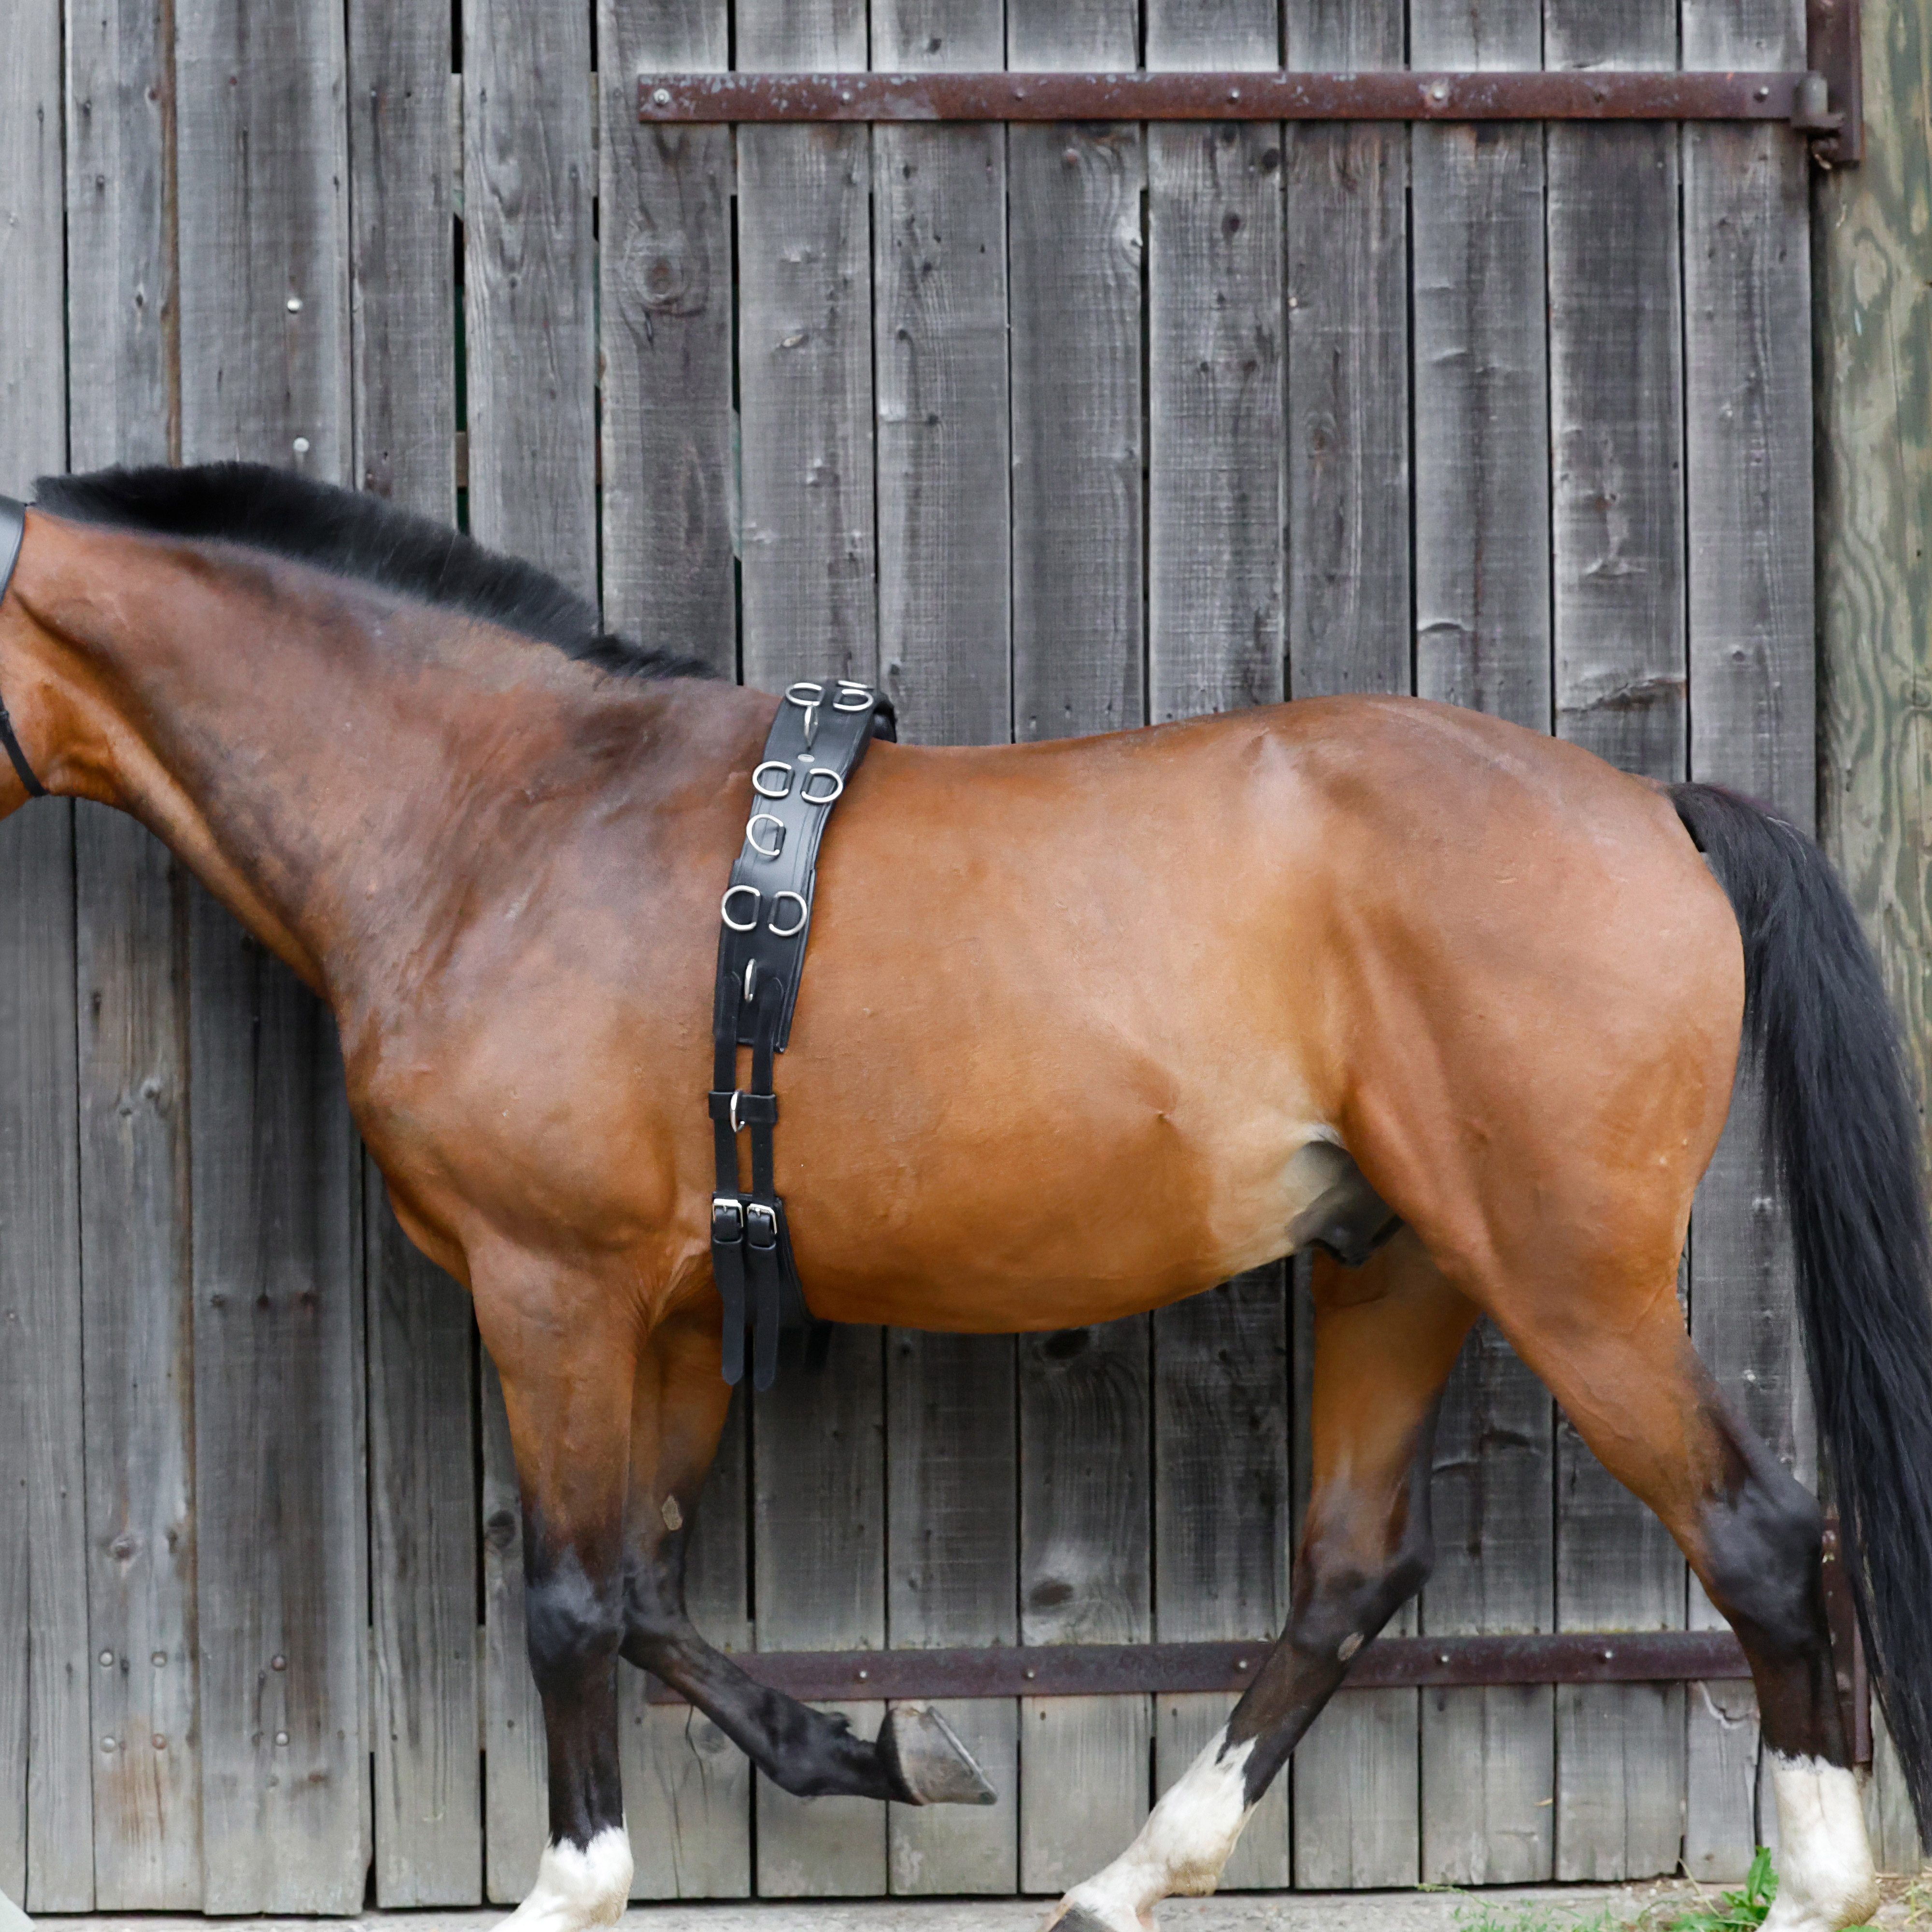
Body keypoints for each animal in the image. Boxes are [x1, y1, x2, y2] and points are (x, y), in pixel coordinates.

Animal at [3, 464, 1932, 1932]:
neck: (506, 819)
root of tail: (1654, 810)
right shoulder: (675, 1311)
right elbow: (640, 1581)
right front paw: (873, 1752)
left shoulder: (547, 1282)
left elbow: (564, 1594)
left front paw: (573, 1884)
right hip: (1399, 1261)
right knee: (1347, 1569)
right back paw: (1125, 1874)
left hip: (1565, 1275)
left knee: (1762, 1541)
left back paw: (1817, 1878)